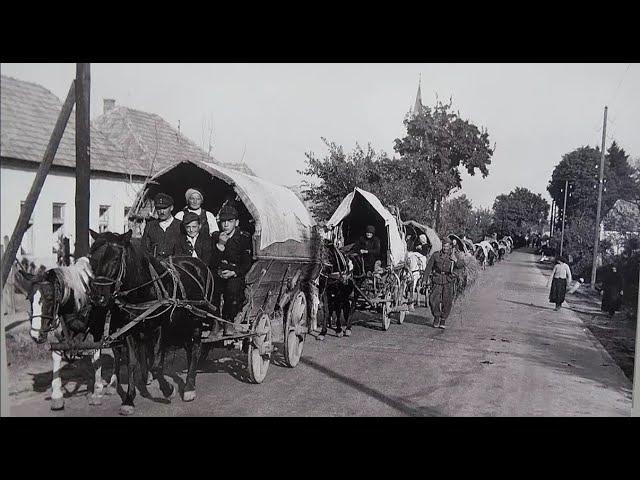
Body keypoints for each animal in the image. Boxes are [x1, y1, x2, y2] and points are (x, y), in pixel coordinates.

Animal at [89, 231, 216, 414]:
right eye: (93, 259)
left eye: (115, 259)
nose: (98, 297)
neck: (143, 289)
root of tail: (199, 263)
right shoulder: (130, 330)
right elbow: (132, 363)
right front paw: (129, 400)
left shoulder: (160, 328)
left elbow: (156, 365)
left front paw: (168, 390)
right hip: (182, 324)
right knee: (189, 348)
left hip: (196, 319)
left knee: (196, 349)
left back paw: (189, 387)